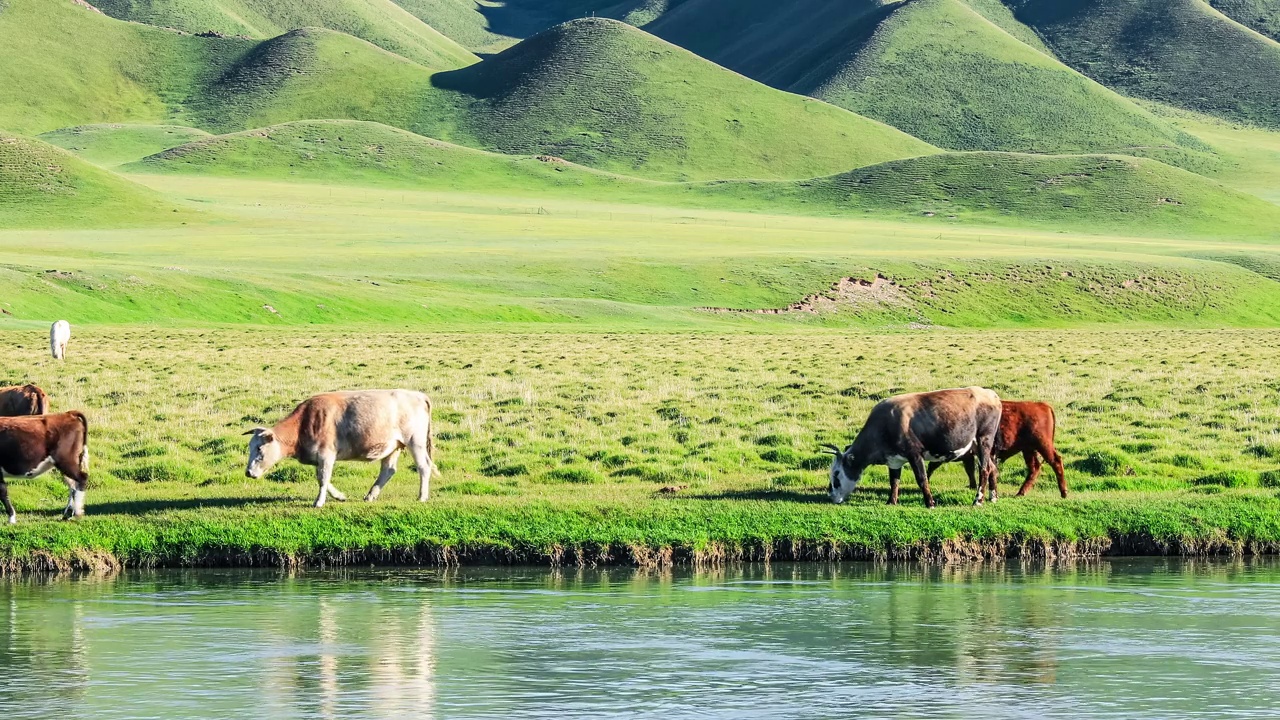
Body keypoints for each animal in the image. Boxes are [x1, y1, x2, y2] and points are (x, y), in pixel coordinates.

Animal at [243, 386, 440, 504]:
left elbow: (323, 478)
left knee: (423, 467)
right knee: (388, 470)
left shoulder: (326, 454)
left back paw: (422, 496)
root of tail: (417, 394)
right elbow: (323, 478)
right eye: (250, 447)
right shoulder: (319, 458)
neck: (304, 424)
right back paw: (371, 495)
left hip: (415, 441)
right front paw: (339, 496)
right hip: (393, 446)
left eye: (259, 448)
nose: (248, 472)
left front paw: (318, 502)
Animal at [824, 386, 1003, 504]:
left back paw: (978, 500)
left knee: (984, 469)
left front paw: (930, 503)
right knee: (992, 468)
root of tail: (991, 394)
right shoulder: (894, 460)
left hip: (984, 439)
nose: (831, 496)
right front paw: (891, 502)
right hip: (976, 445)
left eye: (836, 474)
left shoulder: (914, 453)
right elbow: (894, 481)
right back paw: (993, 497)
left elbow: (922, 479)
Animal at [926, 399, 1064, 497]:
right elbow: (969, 470)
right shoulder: (968, 455)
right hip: (1028, 449)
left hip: (1043, 445)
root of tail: (1042, 405)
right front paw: (972, 487)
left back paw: (1064, 493)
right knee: (1035, 467)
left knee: (1055, 461)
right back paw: (1020, 493)